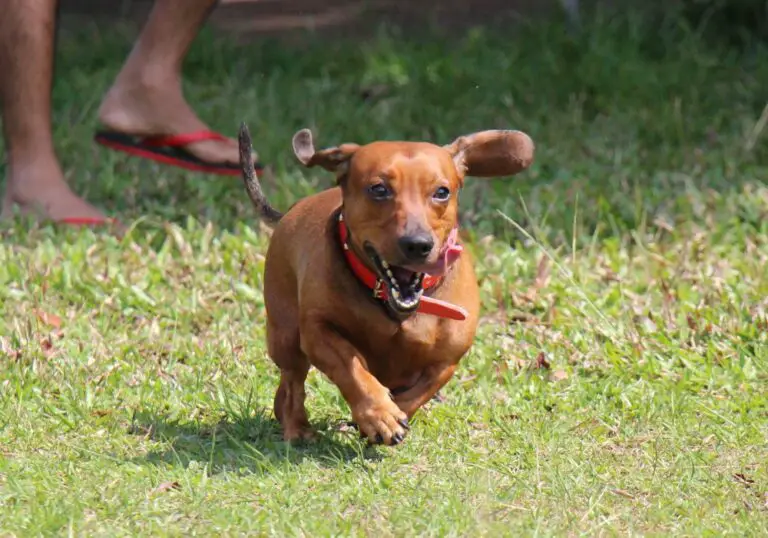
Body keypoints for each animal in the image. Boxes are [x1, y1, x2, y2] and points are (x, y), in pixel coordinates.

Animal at [238, 122, 536, 444]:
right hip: (286, 334)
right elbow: (352, 368)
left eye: (442, 192)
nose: (417, 244)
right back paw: (297, 428)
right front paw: (379, 414)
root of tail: (292, 209)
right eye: (379, 189)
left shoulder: (446, 361)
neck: (393, 306)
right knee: (292, 381)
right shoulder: (317, 331)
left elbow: (417, 394)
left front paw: (388, 414)